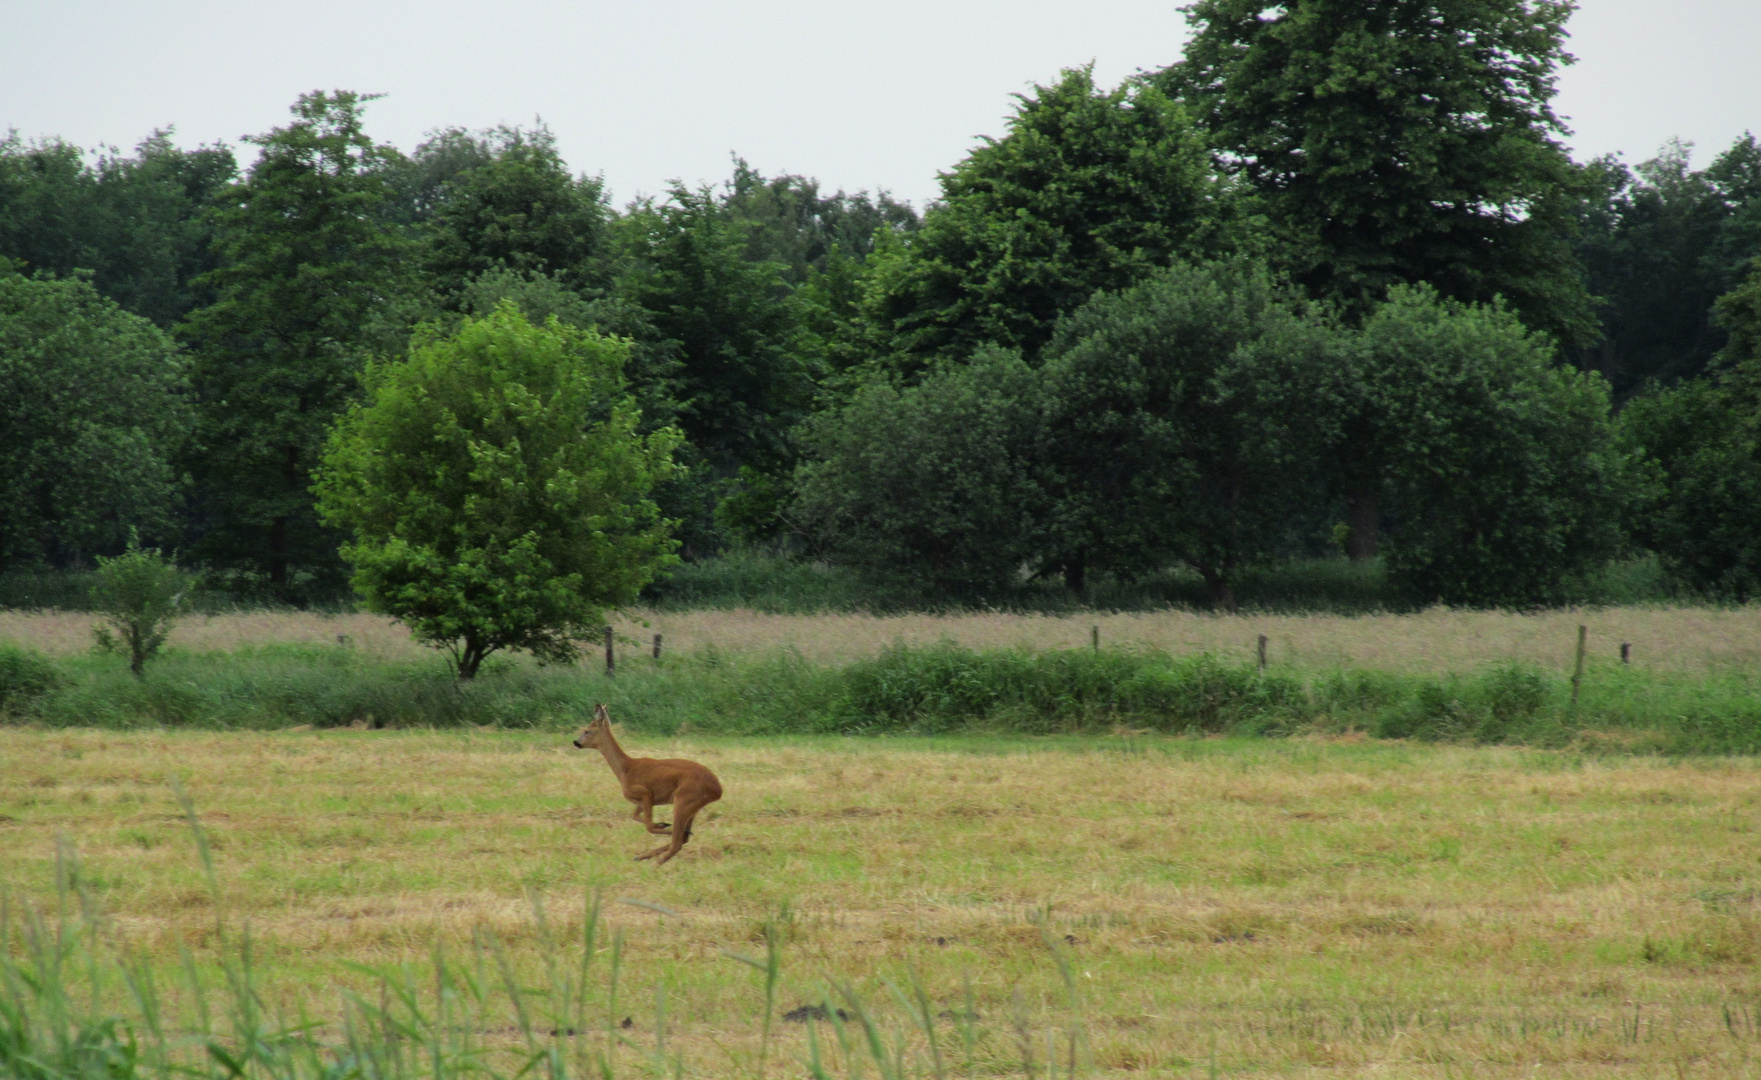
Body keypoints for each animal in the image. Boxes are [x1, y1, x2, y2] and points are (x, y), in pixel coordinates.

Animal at [570, 697, 722, 866]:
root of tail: (718, 790)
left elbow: (649, 826)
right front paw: (661, 824)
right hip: (693, 805)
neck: (625, 769)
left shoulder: (645, 794)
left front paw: (663, 826)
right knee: (683, 839)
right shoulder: (640, 801)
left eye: (586, 731)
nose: (576, 742)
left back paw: (656, 862)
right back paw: (645, 856)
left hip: (685, 798)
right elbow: (635, 817)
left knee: (678, 840)